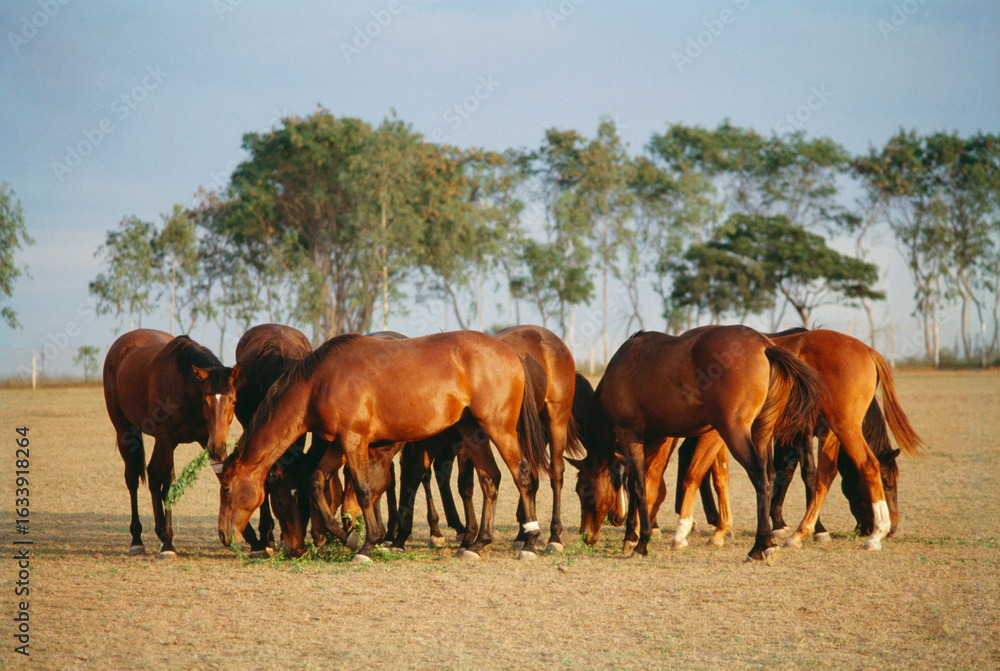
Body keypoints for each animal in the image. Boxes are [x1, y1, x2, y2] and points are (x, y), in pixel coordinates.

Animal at [103, 329, 239, 558]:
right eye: (205, 401)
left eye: (233, 401)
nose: (219, 447)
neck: (185, 388)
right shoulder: (168, 438)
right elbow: (167, 485)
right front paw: (168, 544)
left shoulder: (205, 438)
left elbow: (224, 477)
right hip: (125, 431)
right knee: (133, 479)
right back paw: (138, 539)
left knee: (154, 475)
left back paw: (159, 533)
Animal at [218, 330, 550, 562]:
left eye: (226, 488)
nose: (223, 534)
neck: (320, 381)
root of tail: (510, 352)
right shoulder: (339, 445)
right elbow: (317, 481)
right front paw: (348, 537)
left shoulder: (354, 441)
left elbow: (364, 490)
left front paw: (367, 544)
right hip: (473, 432)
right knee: (490, 480)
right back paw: (477, 543)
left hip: (499, 429)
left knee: (522, 475)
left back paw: (530, 542)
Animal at [574, 325, 821, 561]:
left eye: (582, 489)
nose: (586, 535)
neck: (623, 366)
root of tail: (765, 346)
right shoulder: (653, 440)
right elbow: (645, 485)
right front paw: (631, 538)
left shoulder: (630, 436)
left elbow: (640, 486)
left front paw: (641, 543)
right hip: (761, 433)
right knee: (769, 476)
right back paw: (766, 542)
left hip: (734, 433)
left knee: (759, 476)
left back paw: (759, 547)